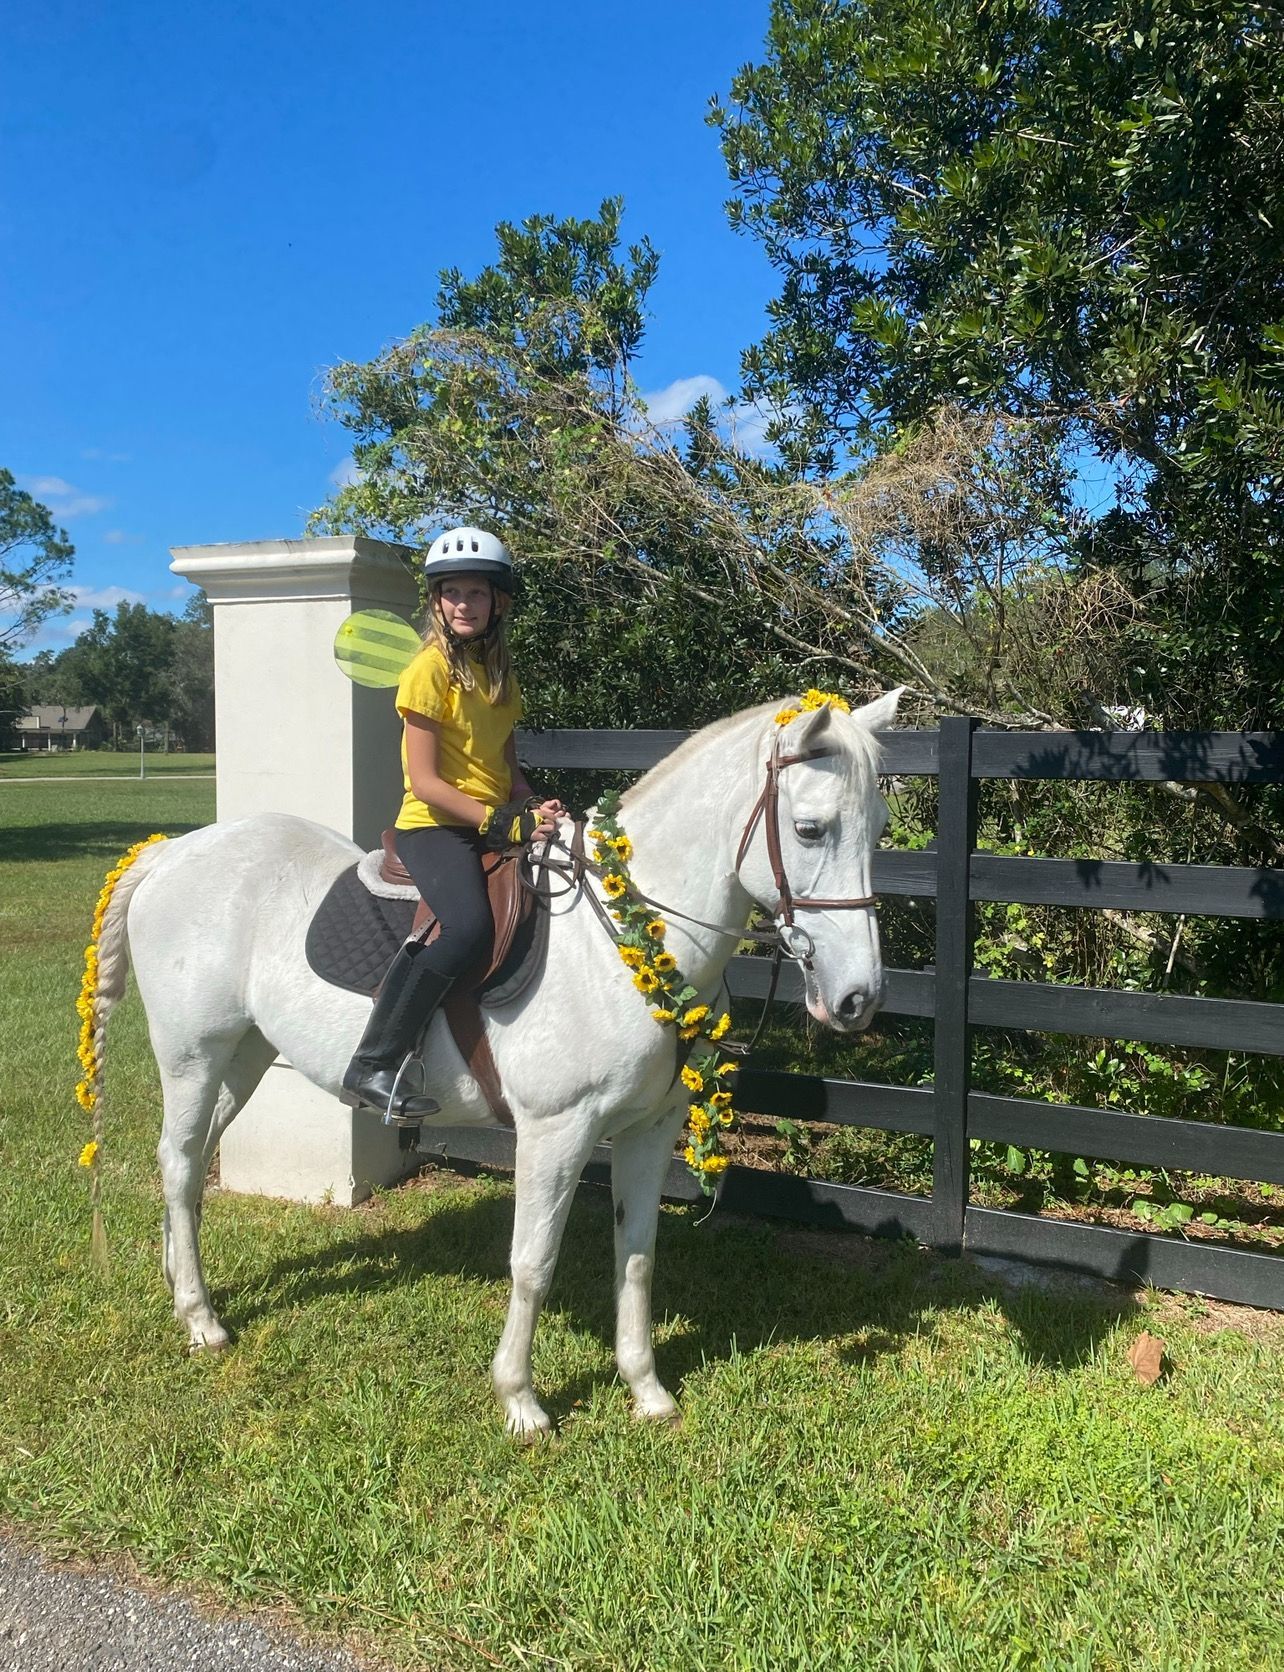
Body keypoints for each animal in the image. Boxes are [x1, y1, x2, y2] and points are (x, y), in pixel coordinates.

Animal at [89, 689, 901, 1437]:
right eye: (809, 829)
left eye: (879, 828)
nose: (857, 998)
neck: (626, 938)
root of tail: (176, 852)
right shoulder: (556, 1132)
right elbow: (532, 1262)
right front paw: (521, 1401)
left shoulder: (650, 1130)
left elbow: (637, 1256)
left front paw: (646, 1391)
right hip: (193, 1056)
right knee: (180, 1163)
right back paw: (201, 1319)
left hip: (244, 1057)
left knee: (188, 1162)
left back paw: (181, 1287)